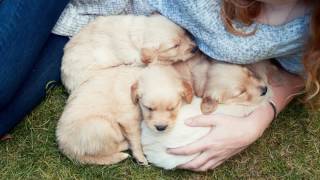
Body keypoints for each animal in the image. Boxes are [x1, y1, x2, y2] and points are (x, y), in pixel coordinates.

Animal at [55, 64, 192, 165]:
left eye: (172, 108)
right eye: (149, 108)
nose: (161, 128)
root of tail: (65, 146)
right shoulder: (129, 120)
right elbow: (136, 139)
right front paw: (140, 157)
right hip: (102, 127)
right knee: (108, 149)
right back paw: (125, 144)